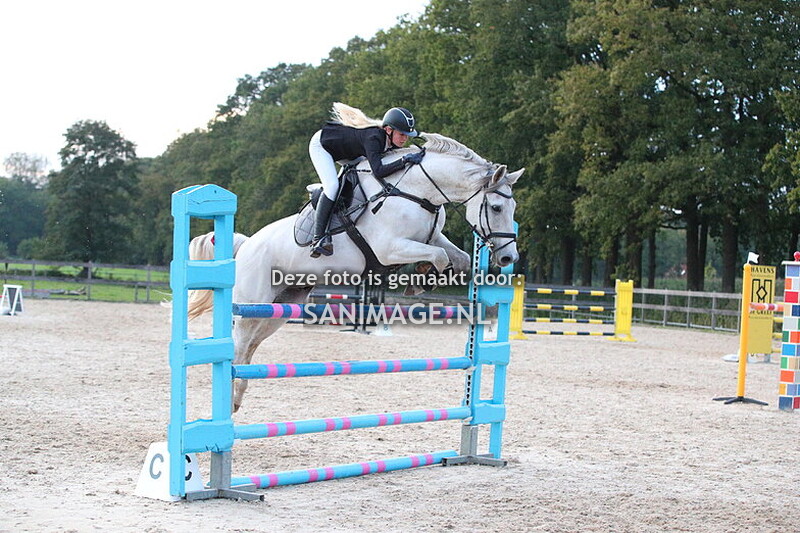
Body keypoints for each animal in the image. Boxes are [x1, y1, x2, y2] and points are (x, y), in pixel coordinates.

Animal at [188, 132, 524, 411]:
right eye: (496, 208)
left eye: (513, 208)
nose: (508, 256)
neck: (417, 192)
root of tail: (246, 245)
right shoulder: (390, 248)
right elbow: (440, 257)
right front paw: (423, 279)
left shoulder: (429, 239)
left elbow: (460, 257)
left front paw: (428, 277)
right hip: (251, 304)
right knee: (238, 345)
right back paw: (228, 401)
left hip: (279, 308)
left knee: (249, 348)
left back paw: (237, 398)